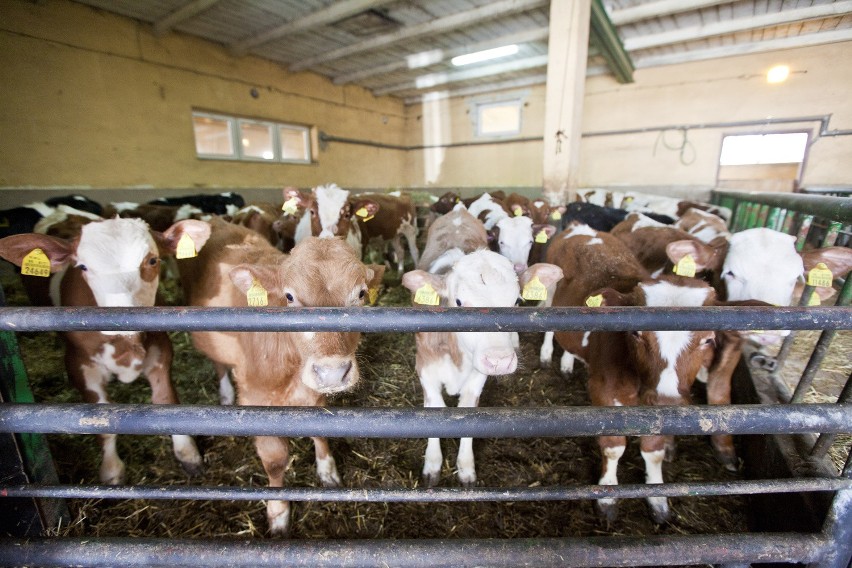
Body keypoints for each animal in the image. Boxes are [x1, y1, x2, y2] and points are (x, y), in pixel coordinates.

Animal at [181, 216, 384, 532]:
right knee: (219, 364)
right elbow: (275, 460)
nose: (333, 372)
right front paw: (278, 511)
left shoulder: (313, 388)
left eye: (361, 293)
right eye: (289, 296)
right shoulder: (256, 399)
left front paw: (327, 470)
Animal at [402, 211, 564, 486]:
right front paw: (432, 464)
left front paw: (466, 468)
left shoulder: (477, 377)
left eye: (517, 301)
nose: (499, 360)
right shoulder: (425, 368)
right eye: (458, 302)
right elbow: (434, 410)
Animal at [544, 223, 720, 524]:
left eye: (708, 339)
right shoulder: (604, 391)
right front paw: (607, 497)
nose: (666, 400)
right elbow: (613, 446)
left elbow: (654, 450)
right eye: (636, 332)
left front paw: (658, 498)